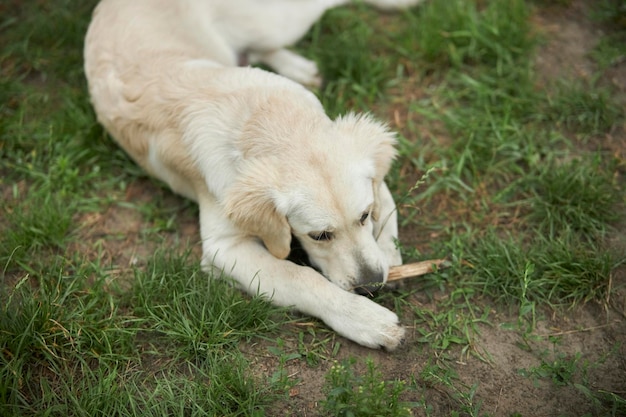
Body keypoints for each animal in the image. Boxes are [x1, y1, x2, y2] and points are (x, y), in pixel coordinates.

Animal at [84, 0, 420, 350]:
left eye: (364, 216)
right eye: (319, 236)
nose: (372, 286)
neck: (266, 121)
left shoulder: (373, 182)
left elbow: (387, 210)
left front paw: (390, 257)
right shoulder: (224, 249)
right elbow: (300, 277)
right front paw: (365, 319)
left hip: (274, 23)